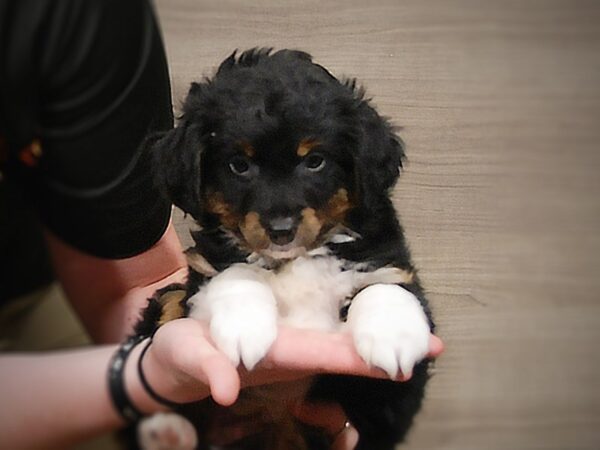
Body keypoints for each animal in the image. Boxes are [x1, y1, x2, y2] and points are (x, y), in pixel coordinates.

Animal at [135, 49, 436, 450]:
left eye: (315, 161)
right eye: (239, 165)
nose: (280, 231)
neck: (297, 258)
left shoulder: (387, 259)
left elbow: (384, 284)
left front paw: (393, 337)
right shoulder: (203, 274)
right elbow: (236, 272)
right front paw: (244, 328)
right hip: (169, 301)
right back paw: (165, 432)